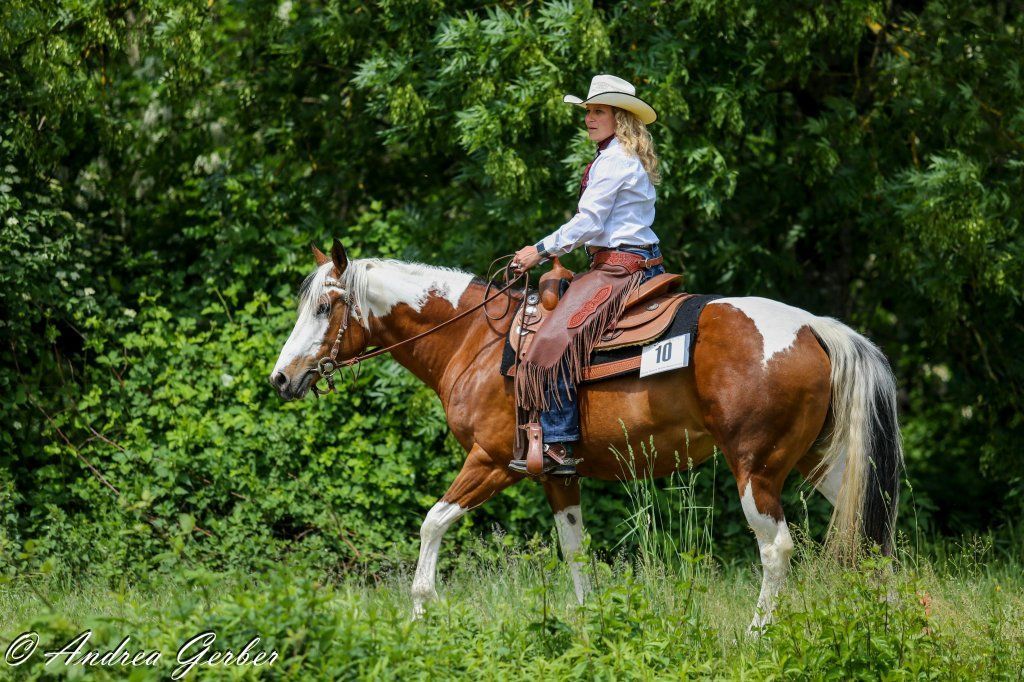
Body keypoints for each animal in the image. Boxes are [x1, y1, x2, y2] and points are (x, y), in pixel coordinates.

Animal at [270, 239, 903, 630]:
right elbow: (575, 549)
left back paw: (758, 632)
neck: (475, 340)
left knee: (777, 550)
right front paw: (592, 624)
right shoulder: (554, 472)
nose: (281, 378)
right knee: (876, 536)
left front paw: (422, 615)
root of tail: (813, 327)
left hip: (757, 467)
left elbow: (432, 522)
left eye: (326, 307)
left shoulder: (490, 460)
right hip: (823, 463)